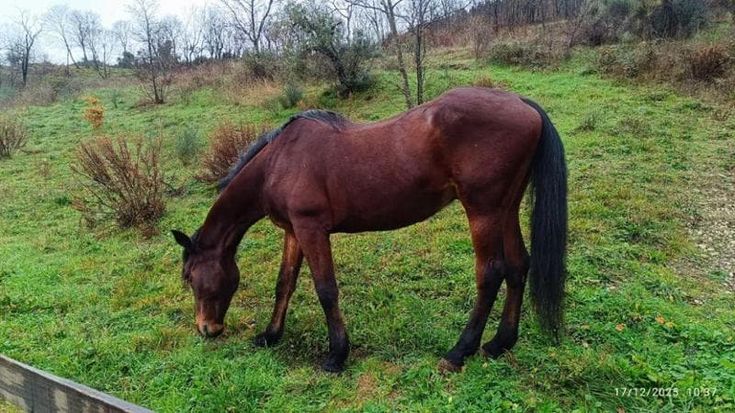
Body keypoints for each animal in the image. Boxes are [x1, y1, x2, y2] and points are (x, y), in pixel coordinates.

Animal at [172, 87, 568, 373]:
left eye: (189, 276)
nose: (207, 329)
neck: (279, 161)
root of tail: (521, 103)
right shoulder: (293, 231)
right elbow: (284, 283)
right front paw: (270, 336)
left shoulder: (312, 229)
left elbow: (326, 290)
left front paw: (336, 355)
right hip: (506, 209)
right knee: (517, 266)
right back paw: (500, 344)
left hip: (482, 211)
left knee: (491, 273)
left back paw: (458, 352)